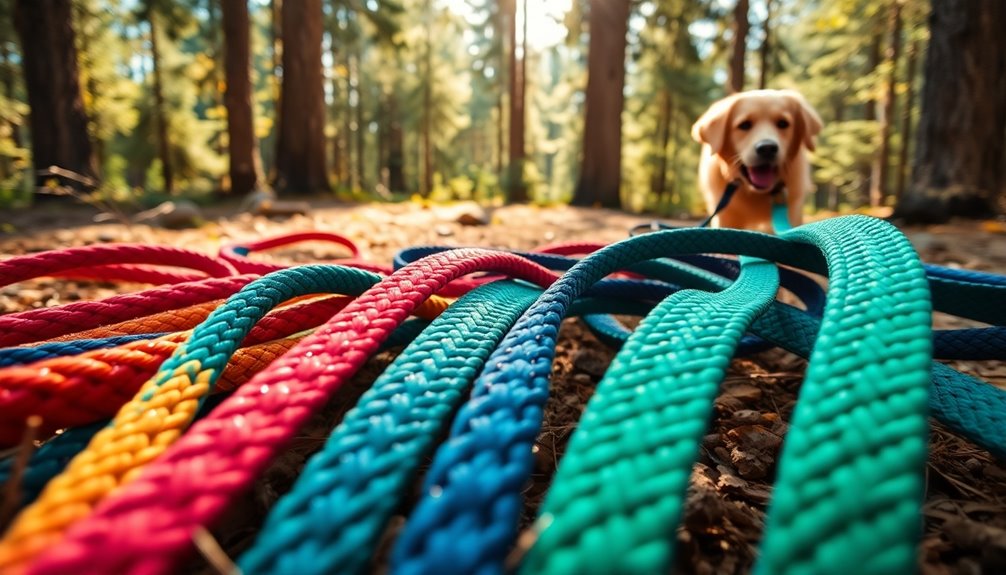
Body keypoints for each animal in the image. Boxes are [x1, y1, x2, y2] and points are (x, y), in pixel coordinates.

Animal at [692, 88, 824, 230]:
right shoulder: (725, 216)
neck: (755, 194)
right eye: (744, 125)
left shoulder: (793, 210)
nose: (767, 148)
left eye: (783, 123)